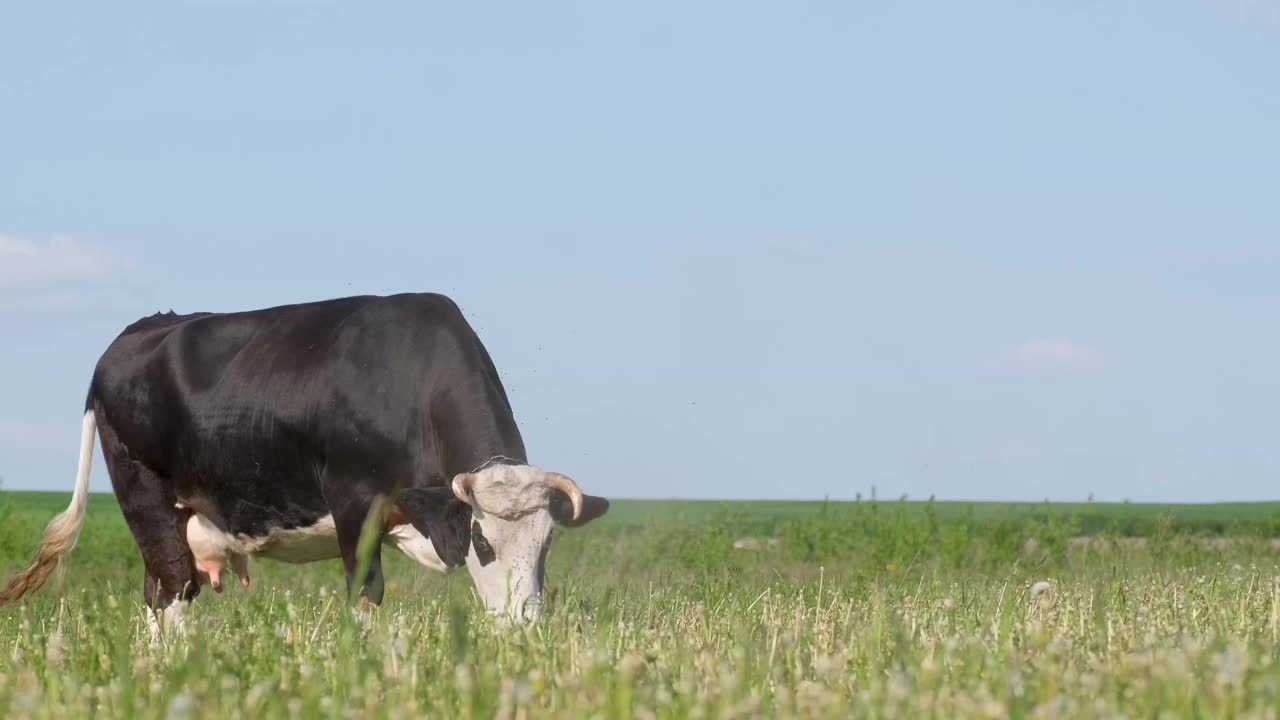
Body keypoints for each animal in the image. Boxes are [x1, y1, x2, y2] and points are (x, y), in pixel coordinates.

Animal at [0, 288, 609, 635]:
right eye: (483, 542)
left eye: (547, 543)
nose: (524, 626)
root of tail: (133, 332)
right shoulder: (353, 501)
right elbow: (365, 596)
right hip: (142, 494)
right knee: (170, 593)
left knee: (162, 596)